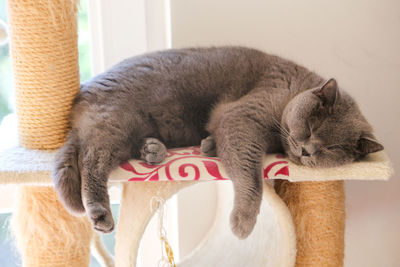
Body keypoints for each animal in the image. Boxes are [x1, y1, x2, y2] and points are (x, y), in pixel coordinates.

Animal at [51, 46, 382, 239]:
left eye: (332, 149)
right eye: (313, 127)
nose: (308, 150)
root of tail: (81, 97)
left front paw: (209, 145)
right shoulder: (242, 116)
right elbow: (250, 174)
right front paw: (243, 222)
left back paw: (153, 150)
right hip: (117, 122)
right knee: (91, 160)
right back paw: (100, 212)